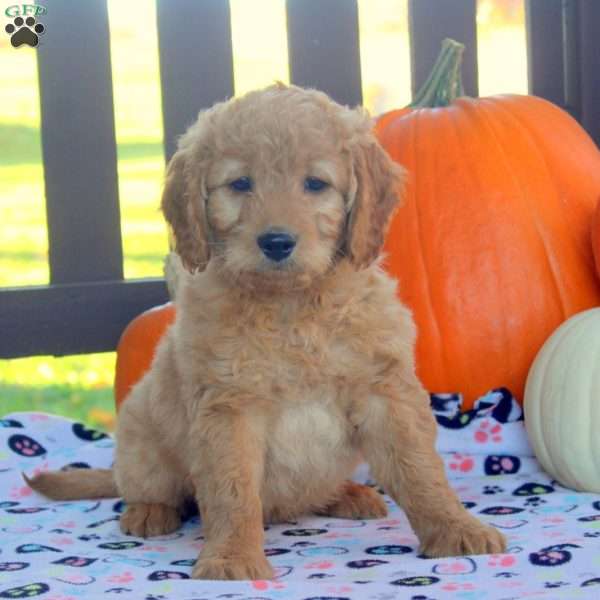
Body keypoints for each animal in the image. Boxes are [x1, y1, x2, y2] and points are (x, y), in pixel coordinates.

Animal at [28, 82, 506, 580]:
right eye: (240, 184)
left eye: (315, 184)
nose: (276, 242)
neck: (291, 308)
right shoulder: (229, 409)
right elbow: (233, 493)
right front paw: (232, 559)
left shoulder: (386, 393)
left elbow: (420, 470)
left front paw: (456, 529)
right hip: (142, 437)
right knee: (147, 485)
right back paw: (149, 512)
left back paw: (348, 495)